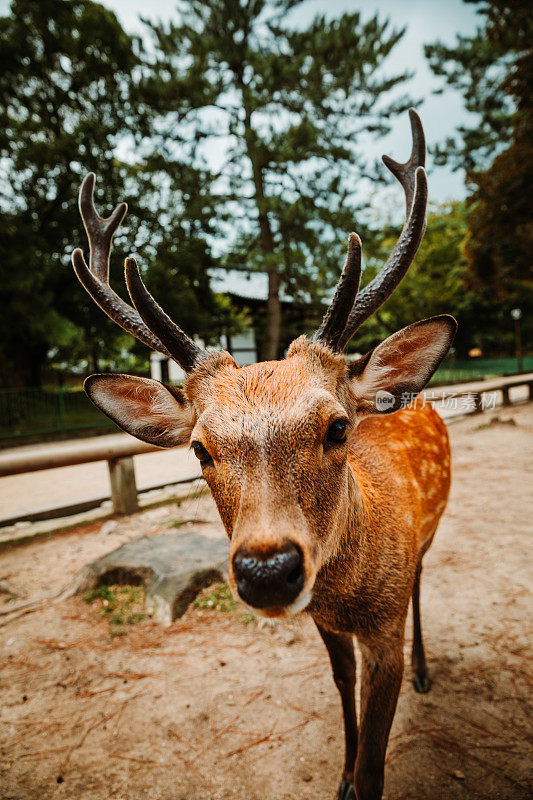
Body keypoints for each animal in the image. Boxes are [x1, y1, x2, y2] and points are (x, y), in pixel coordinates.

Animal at [70, 108, 454, 800]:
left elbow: (379, 759)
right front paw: (341, 778)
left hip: (428, 541)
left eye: (337, 427)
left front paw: (363, 775)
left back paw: (426, 671)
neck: (349, 596)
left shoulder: (382, 628)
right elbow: (344, 694)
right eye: (199, 448)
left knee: (419, 586)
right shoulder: (324, 623)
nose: (268, 570)